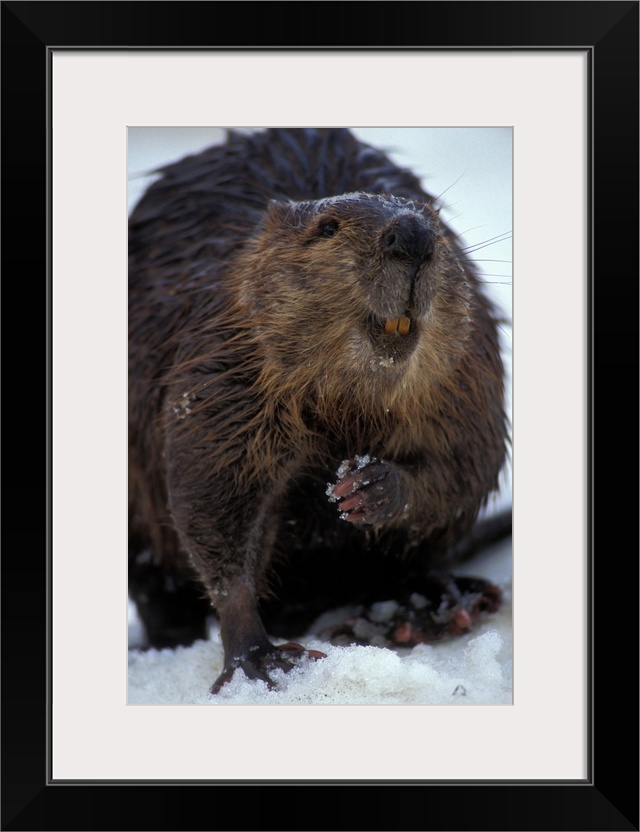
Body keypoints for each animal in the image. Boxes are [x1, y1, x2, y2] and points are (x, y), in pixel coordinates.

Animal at [129, 127, 510, 692]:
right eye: (327, 227)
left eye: (436, 222)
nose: (413, 237)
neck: (349, 398)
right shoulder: (223, 370)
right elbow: (214, 498)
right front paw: (261, 661)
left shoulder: (465, 375)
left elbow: (463, 466)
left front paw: (369, 488)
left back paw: (422, 606)